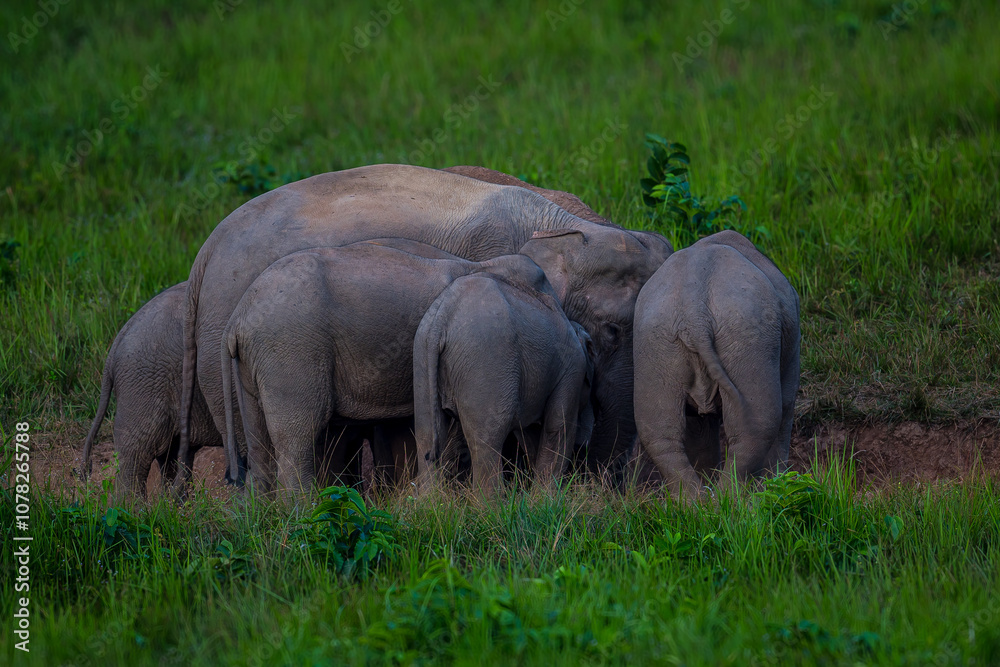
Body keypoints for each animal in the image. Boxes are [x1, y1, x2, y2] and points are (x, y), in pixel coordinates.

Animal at [220, 240, 556, 495]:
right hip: (290, 351)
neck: (482, 265)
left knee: (259, 443)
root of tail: (236, 319)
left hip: (256, 363)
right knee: (295, 439)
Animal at [412, 270, 594, 494]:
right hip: (487, 361)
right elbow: (558, 426)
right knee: (487, 439)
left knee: (427, 434)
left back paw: (429, 500)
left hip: (422, 354)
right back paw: (492, 503)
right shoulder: (572, 368)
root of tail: (443, 316)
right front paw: (546, 497)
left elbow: (529, 434)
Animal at [633, 230, 800, 501]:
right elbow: (786, 403)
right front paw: (775, 485)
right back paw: (733, 501)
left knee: (660, 432)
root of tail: (695, 311)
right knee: (758, 423)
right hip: (747, 333)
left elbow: (699, 426)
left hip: (654, 337)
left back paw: (696, 503)